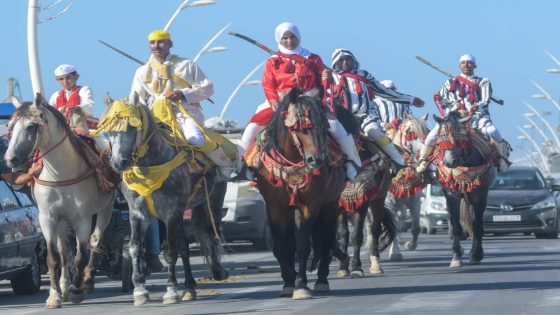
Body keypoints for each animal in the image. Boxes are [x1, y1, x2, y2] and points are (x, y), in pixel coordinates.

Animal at [4, 94, 115, 308]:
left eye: (31, 126)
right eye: (11, 127)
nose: (10, 159)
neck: (60, 174)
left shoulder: (83, 219)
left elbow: (80, 256)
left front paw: (77, 290)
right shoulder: (47, 218)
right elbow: (54, 257)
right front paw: (54, 295)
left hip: (106, 209)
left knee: (95, 241)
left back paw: (86, 281)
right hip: (63, 220)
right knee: (64, 250)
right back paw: (64, 287)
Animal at [98, 95, 228, 306]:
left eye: (132, 127)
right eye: (109, 131)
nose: (118, 163)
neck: (151, 167)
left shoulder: (171, 213)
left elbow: (170, 252)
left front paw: (171, 290)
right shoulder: (138, 214)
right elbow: (135, 248)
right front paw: (140, 290)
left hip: (212, 201)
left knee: (210, 232)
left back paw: (216, 272)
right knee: (184, 246)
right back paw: (189, 287)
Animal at [246, 87, 346, 300]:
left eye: (324, 125)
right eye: (299, 127)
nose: (317, 160)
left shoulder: (310, 206)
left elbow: (303, 246)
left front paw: (301, 285)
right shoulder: (274, 207)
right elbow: (281, 245)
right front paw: (288, 282)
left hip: (331, 203)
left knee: (326, 238)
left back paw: (322, 280)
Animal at [382, 113, 430, 262]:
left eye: (427, 132)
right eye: (410, 133)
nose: (424, 156)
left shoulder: (414, 200)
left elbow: (416, 228)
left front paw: (410, 245)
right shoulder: (388, 204)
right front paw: (395, 253)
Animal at [434, 111, 494, 270]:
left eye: (460, 139)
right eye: (441, 139)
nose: (449, 163)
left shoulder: (480, 196)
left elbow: (477, 225)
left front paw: (476, 254)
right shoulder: (451, 195)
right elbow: (455, 225)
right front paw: (456, 256)